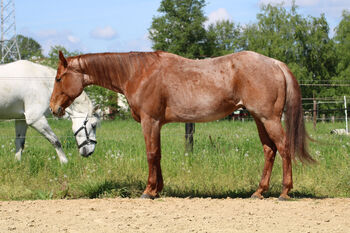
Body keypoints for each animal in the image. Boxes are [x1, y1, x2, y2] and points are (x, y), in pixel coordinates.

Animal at [49, 50, 314, 199]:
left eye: (59, 78)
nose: (53, 108)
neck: (138, 73)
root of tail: (275, 63)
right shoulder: (157, 124)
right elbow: (158, 154)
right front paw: (158, 189)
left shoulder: (150, 121)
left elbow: (151, 154)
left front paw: (148, 191)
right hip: (259, 118)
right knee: (269, 150)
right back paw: (259, 192)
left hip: (269, 118)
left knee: (284, 148)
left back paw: (284, 192)